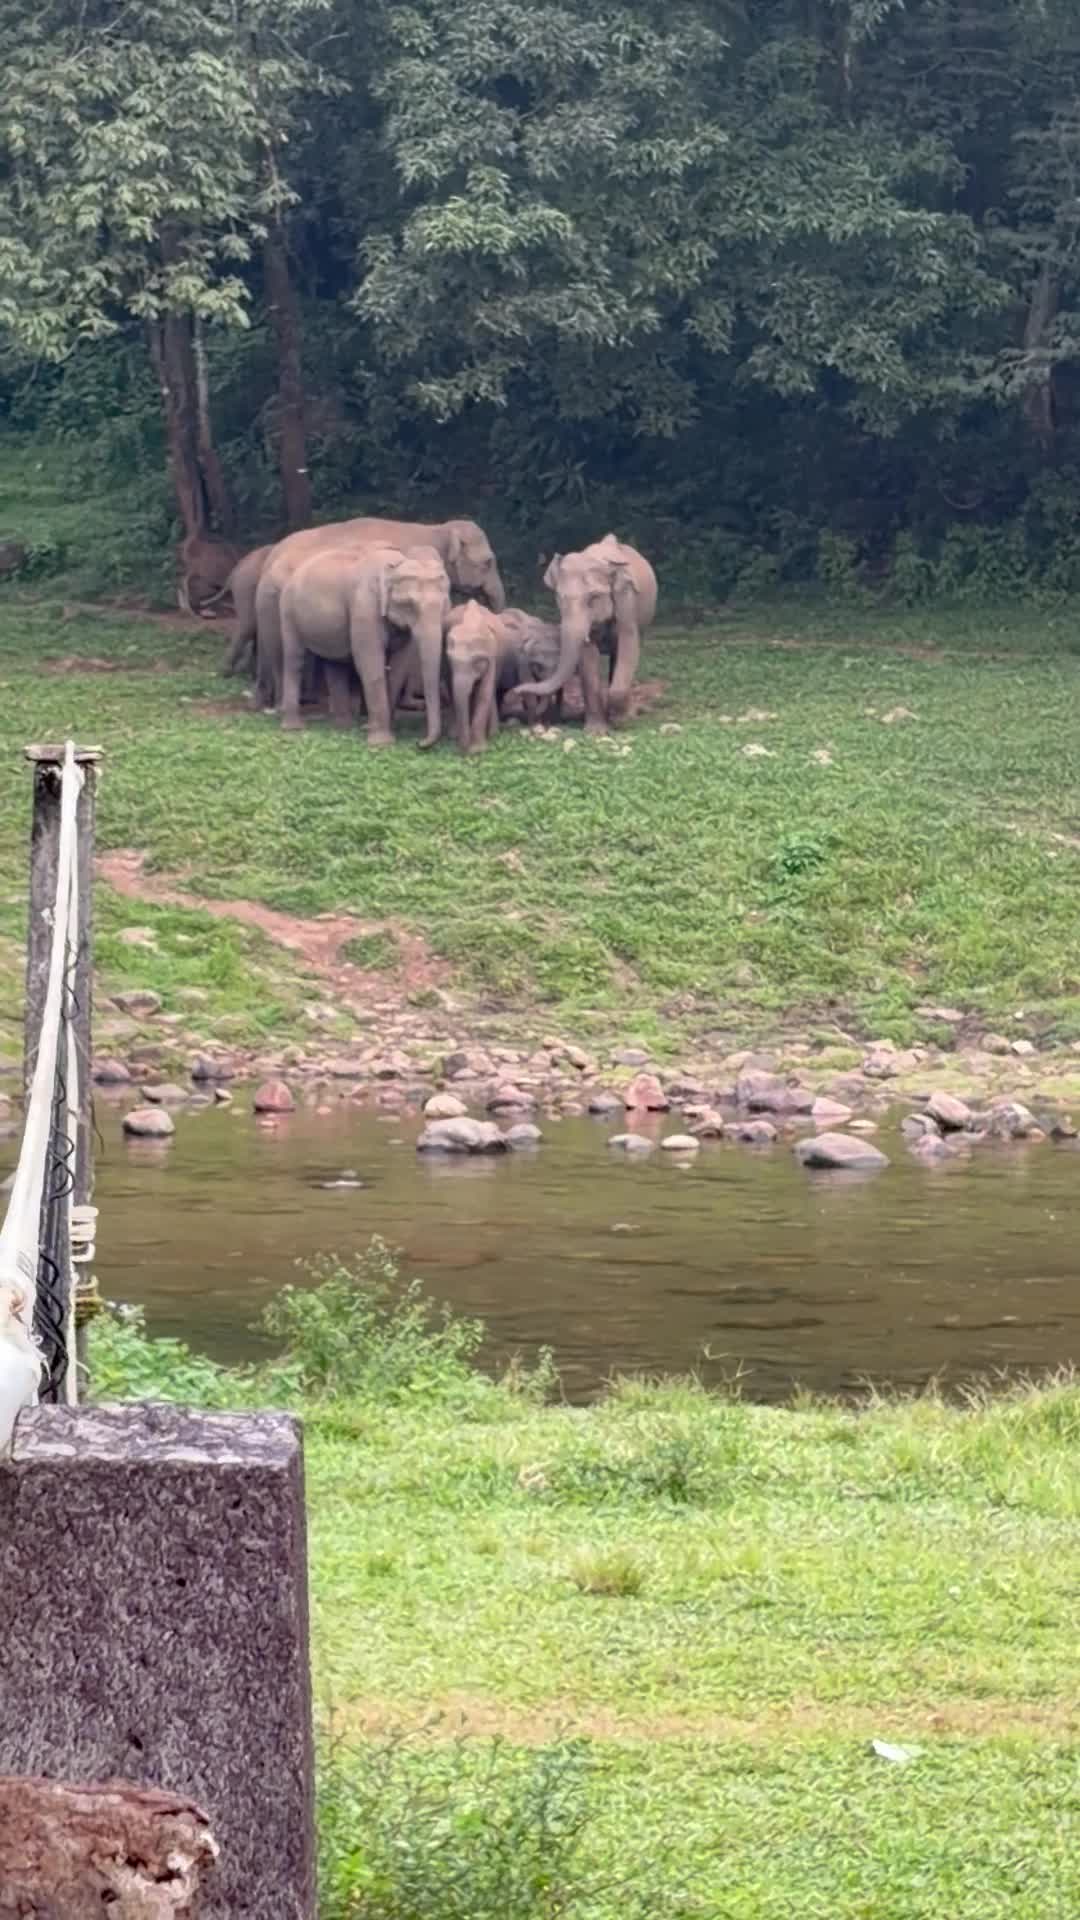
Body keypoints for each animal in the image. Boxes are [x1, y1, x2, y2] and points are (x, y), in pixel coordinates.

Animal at [279, 543, 451, 747]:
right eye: (409, 604)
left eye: (444, 604)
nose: (419, 743)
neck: (395, 564)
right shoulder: (365, 607)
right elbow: (369, 662)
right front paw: (381, 742)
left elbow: (398, 666)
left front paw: (373, 728)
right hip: (288, 611)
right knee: (294, 660)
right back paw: (293, 728)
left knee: (335, 664)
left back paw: (343, 725)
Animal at [514, 534, 657, 730]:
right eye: (559, 598)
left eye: (593, 597)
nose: (516, 690)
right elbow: (587, 657)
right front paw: (595, 730)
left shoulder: (627, 601)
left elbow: (628, 646)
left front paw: (622, 721)